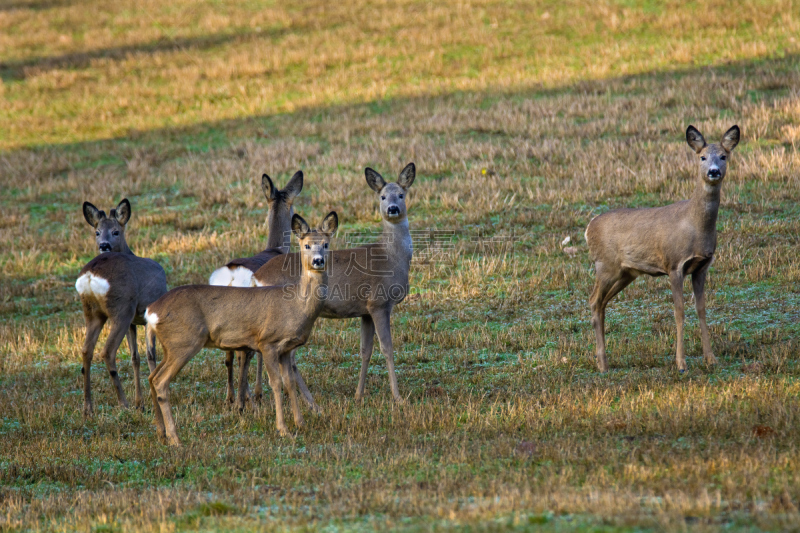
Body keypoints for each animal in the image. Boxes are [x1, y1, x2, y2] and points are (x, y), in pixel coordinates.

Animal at [76, 197, 169, 414]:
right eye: (97, 232)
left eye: (115, 231)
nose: (104, 244)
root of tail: (90, 275)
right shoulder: (146, 315)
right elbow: (150, 354)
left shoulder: (133, 322)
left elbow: (135, 357)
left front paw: (140, 402)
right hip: (121, 308)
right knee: (107, 351)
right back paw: (123, 403)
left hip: (93, 312)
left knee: (86, 351)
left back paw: (88, 407)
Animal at [147, 212, 338, 444]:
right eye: (307, 245)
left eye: (326, 244)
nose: (318, 260)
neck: (296, 305)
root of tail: (151, 311)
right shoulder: (268, 342)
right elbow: (276, 383)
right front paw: (283, 428)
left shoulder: (286, 348)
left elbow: (290, 383)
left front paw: (300, 423)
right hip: (184, 341)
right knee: (161, 381)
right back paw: (175, 438)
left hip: (171, 346)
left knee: (152, 377)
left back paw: (161, 431)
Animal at [206, 170, 316, 408]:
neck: (275, 249)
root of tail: (230, 277)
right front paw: (258, 393)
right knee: (242, 355)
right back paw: (243, 400)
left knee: (229, 355)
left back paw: (231, 398)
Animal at [255, 163, 418, 404]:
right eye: (382, 196)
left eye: (401, 194)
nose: (393, 209)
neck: (391, 258)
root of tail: (257, 276)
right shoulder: (379, 302)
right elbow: (387, 348)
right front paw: (397, 397)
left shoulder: (365, 310)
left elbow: (365, 350)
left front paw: (358, 395)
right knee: (287, 357)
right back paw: (306, 401)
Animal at [584, 125, 740, 370]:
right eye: (702, 157)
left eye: (724, 156)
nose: (714, 171)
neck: (694, 225)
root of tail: (589, 227)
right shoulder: (674, 264)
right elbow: (679, 312)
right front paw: (681, 363)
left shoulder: (702, 267)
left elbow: (701, 310)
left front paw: (711, 358)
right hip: (606, 266)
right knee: (593, 300)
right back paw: (602, 364)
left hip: (626, 272)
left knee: (601, 303)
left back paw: (604, 362)